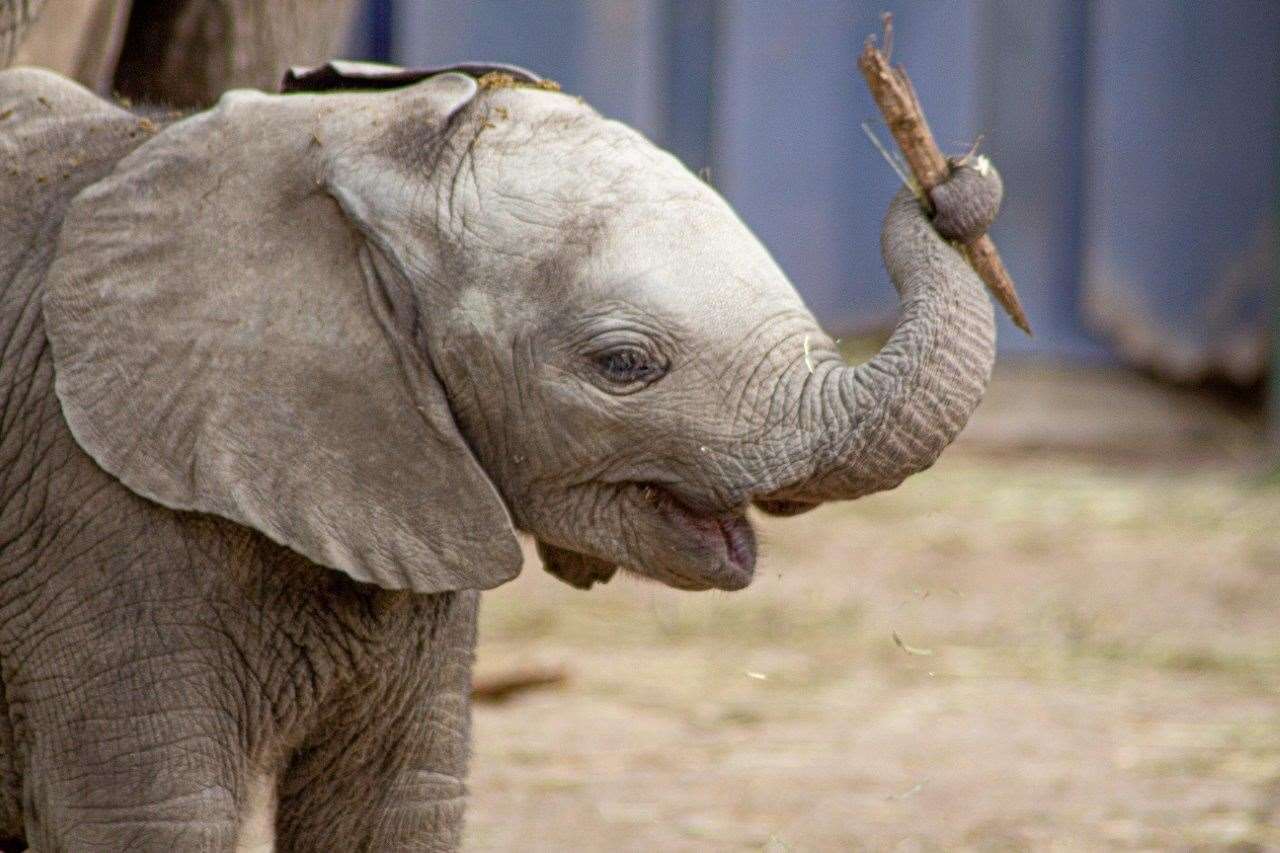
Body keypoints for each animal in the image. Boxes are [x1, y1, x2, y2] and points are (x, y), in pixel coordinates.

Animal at [0, 58, 998, 845]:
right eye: (624, 364)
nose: (953, 181)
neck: (342, 145)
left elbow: (396, 809)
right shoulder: (96, 525)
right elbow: (157, 817)